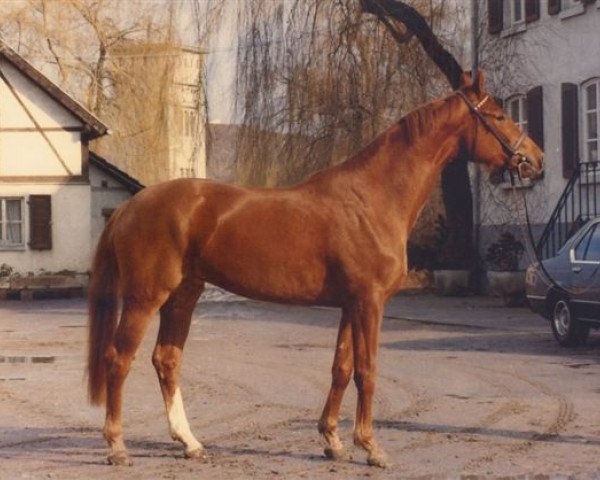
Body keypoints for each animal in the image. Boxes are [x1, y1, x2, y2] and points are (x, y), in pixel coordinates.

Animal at [89, 72, 544, 468]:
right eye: (499, 116)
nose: (536, 160)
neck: (372, 199)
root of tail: (131, 205)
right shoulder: (370, 303)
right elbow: (367, 370)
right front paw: (371, 447)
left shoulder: (350, 304)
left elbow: (341, 369)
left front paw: (333, 441)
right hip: (146, 297)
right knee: (119, 358)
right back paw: (117, 447)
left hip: (183, 295)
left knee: (166, 360)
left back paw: (190, 443)